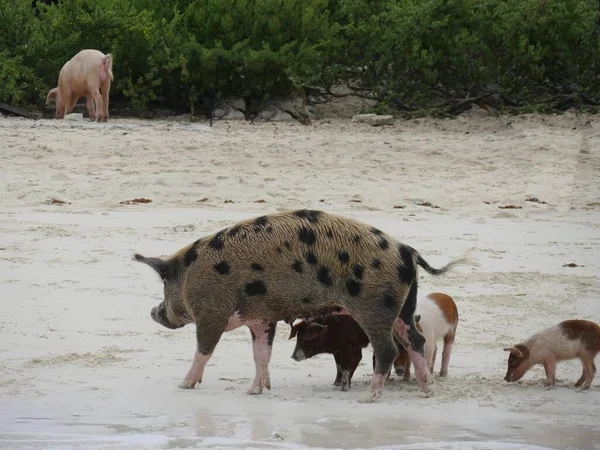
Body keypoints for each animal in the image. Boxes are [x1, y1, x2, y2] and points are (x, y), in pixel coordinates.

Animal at [135, 209, 478, 402]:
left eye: (164, 284)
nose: (152, 312)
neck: (191, 274)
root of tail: (408, 252)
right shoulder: (261, 317)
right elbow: (261, 354)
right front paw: (256, 390)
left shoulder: (212, 314)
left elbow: (203, 351)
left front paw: (184, 385)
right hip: (404, 307)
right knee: (415, 341)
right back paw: (427, 389)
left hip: (375, 308)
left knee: (388, 350)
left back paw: (368, 398)